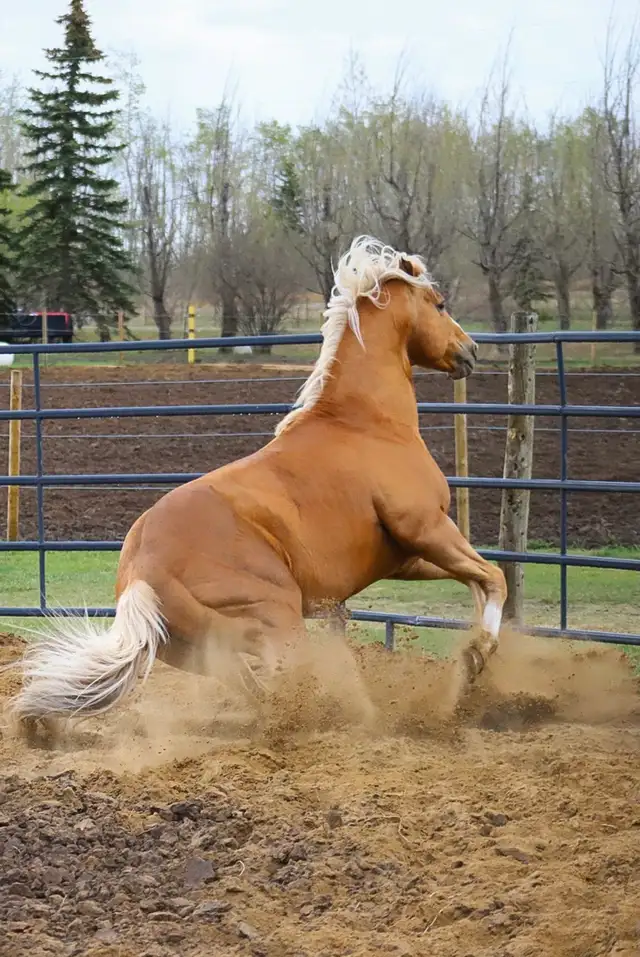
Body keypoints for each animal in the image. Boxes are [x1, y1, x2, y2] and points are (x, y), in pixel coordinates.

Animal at [8, 236, 507, 726]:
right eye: (439, 304)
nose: (470, 351)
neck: (367, 423)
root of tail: (139, 577)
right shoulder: (427, 528)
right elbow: (494, 577)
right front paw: (479, 654)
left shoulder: (406, 556)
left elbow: (476, 583)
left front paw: (470, 663)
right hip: (278, 621)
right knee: (289, 688)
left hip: (210, 653)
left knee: (261, 696)